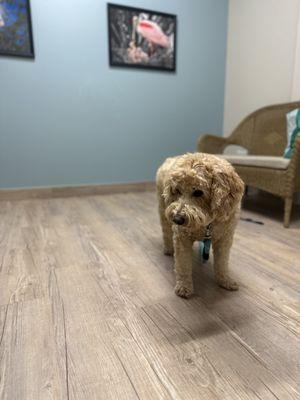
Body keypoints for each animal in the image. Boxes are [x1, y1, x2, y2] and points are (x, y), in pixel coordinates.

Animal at [156, 152, 245, 298]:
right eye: (177, 190)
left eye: (198, 192)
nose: (177, 219)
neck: (207, 222)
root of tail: (170, 158)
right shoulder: (182, 238)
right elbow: (183, 265)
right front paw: (184, 287)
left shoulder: (224, 239)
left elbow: (222, 262)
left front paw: (225, 280)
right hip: (163, 208)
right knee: (166, 231)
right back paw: (168, 249)